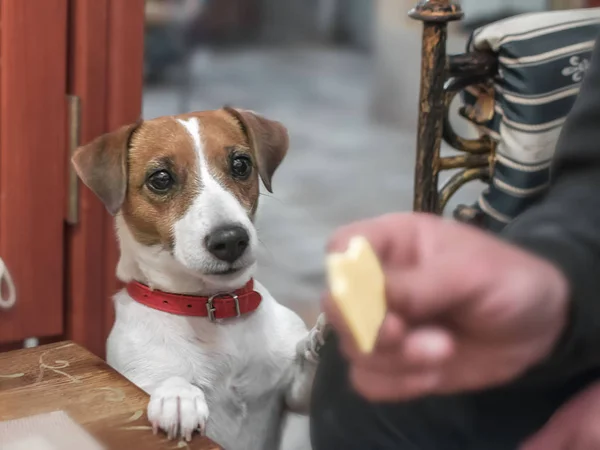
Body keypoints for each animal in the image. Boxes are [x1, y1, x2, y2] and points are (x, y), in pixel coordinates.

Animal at [72, 108, 326, 450]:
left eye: (241, 165)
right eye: (161, 178)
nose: (230, 240)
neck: (213, 306)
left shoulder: (294, 395)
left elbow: (307, 375)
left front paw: (322, 336)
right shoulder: (136, 375)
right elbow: (168, 378)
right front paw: (177, 396)